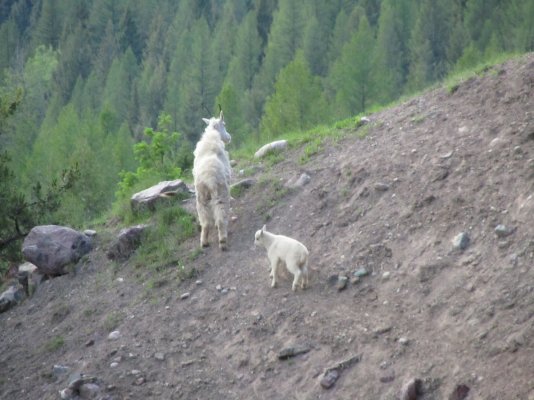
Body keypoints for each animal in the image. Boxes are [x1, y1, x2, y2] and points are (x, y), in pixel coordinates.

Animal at [195, 111, 232, 250]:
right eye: (224, 124)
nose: (229, 137)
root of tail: (208, 178)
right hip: (220, 191)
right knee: (220, 214)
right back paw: (222, 240)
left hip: (201, 196)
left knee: (205, 220)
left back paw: (204, 242)